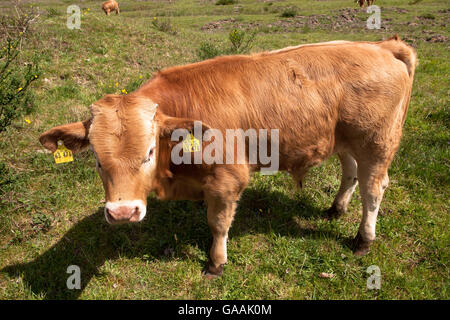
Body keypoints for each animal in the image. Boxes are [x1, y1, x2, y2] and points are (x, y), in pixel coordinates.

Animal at [40, 35, 416, 278]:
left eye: (148, 152)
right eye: (97, 159)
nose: (122, 213)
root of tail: (381, 47)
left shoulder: (227, 179)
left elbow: (218, 223)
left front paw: (216, 262)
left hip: (376, 143)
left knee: (373, 190)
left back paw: (363, 239)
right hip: (344, 139)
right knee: (350, 172)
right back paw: (336, 208)